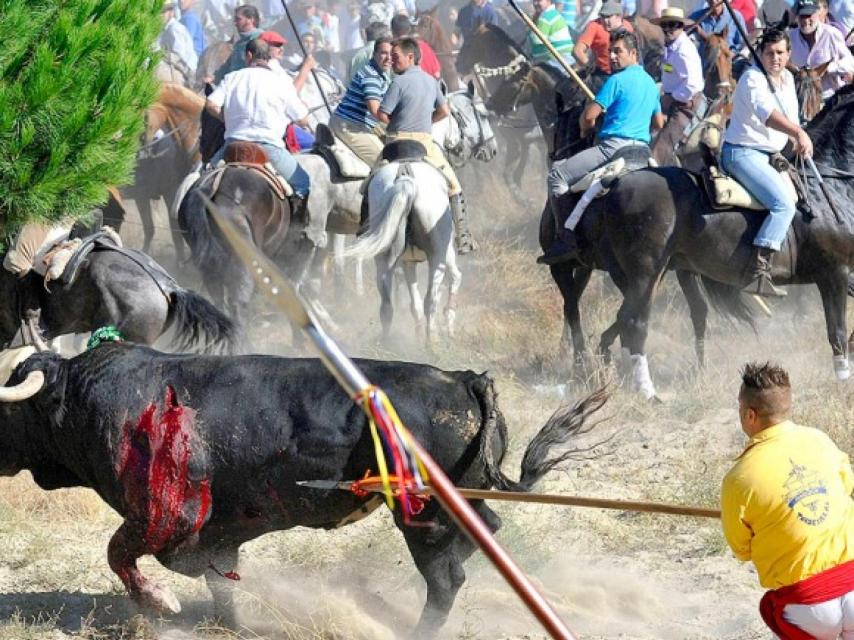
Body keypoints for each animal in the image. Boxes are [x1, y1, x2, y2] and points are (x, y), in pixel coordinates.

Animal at [0, 344, 604, 636]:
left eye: (9, 405)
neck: (85, 397)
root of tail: (463, 379)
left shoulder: (166, 515)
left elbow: (122, 554)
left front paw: (162, 602)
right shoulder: (215, 533)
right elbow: (219, 576)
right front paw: (226, 623)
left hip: (423, 518)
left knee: (444, 579)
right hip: (464, 504)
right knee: (481, 541)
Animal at [568, 85, 854, 396]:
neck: (828, 189)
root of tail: (616, 185)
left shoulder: (841, 275)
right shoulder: (834, 274)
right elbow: (837, 332)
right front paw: (843, 380)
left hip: (649, 274)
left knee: (625, 319)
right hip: (646, 271)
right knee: (635, 322)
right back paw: (647, 391)